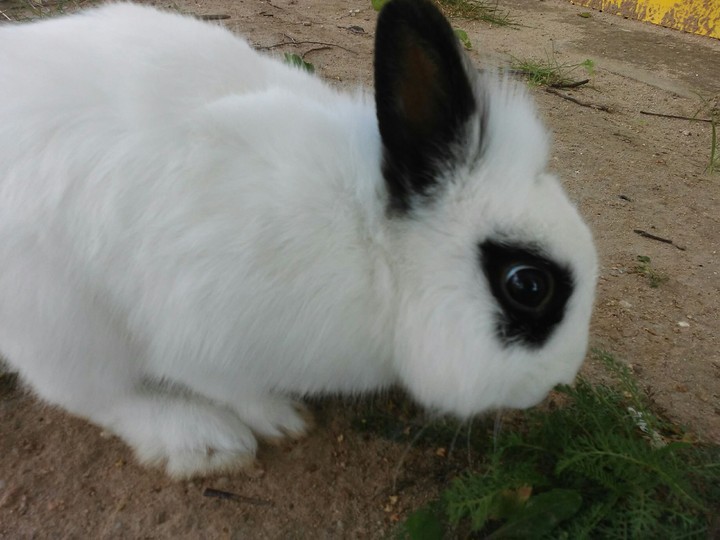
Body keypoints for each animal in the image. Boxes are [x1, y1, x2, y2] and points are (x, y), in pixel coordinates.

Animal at [0, 0, 597, 478]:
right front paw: (280, 418)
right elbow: (219, 382)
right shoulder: (195, 324)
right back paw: (202, 441)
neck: (375, 250)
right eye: (527, 285)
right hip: (65, 320)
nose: (561, 378)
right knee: (92, 394)